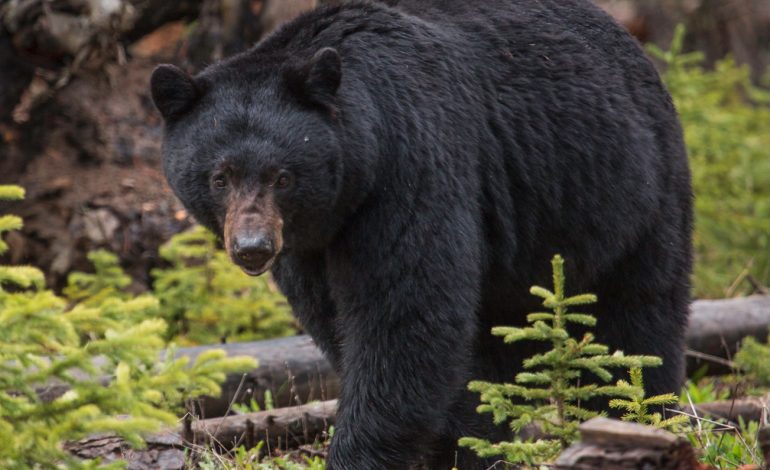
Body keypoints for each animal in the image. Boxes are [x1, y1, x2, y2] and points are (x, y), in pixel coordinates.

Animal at [150, 0, 693, 468]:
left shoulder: (410, 165)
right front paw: (461, 440)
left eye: (283, 176)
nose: (252, 248)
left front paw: (364, 453)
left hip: (631, 193)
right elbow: (339, 321)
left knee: (637, 318)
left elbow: (405, 319)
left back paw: (638, 414)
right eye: (219, 177)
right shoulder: (310, 245)